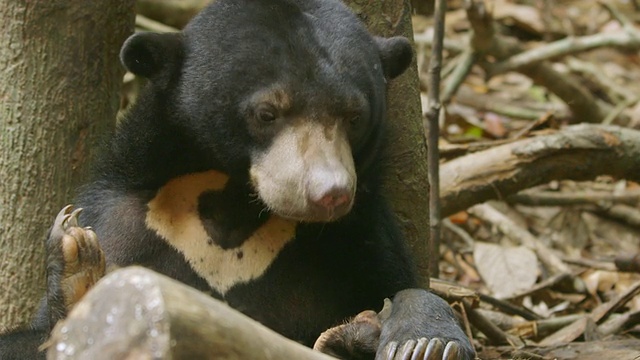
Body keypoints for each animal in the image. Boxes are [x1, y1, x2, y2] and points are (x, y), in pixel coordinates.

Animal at [0, 0, 476, 360]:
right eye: (267, 113)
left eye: (354, 116)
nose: (331, 195)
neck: (232, 205)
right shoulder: (124, 218)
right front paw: (76, 260)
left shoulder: (360, 236)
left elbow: (399, 284)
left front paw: (423, 340)